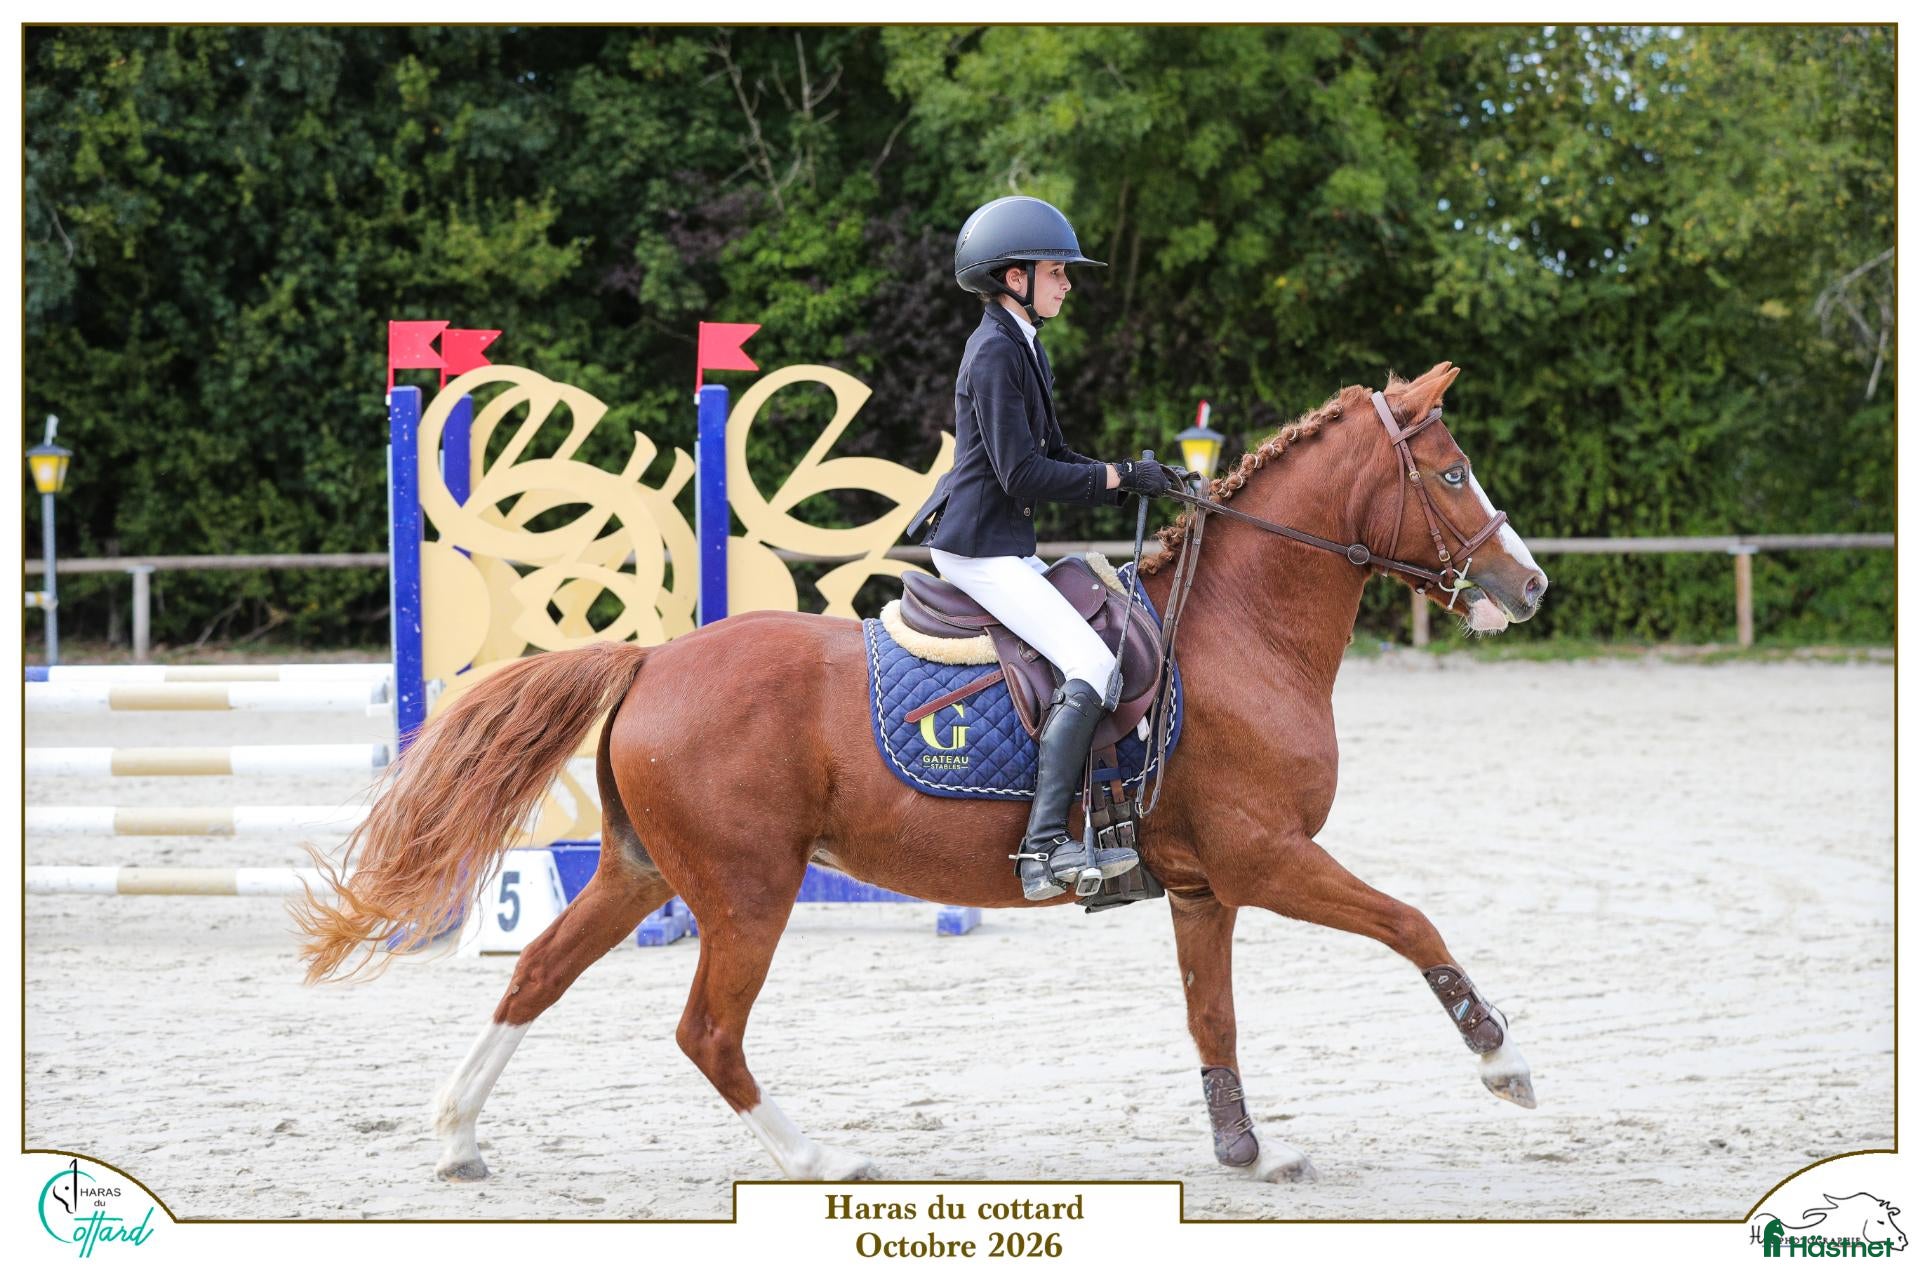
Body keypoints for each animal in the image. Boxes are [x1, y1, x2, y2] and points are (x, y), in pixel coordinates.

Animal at [294, 360, 1550, 1185]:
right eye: (1450, 471)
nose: (1529, 585)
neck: (1237, 632)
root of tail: (651, 660)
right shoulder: (1271, 857)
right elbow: (1413, 922)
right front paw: (1503, 1061)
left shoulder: (1205, 884)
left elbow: (1213, 1017)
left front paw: (1246, 1148)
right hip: (748, 889)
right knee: (707, 1030)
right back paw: (822, 1156)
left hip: (641, 872)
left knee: (536, 972)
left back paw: (458, 1136)